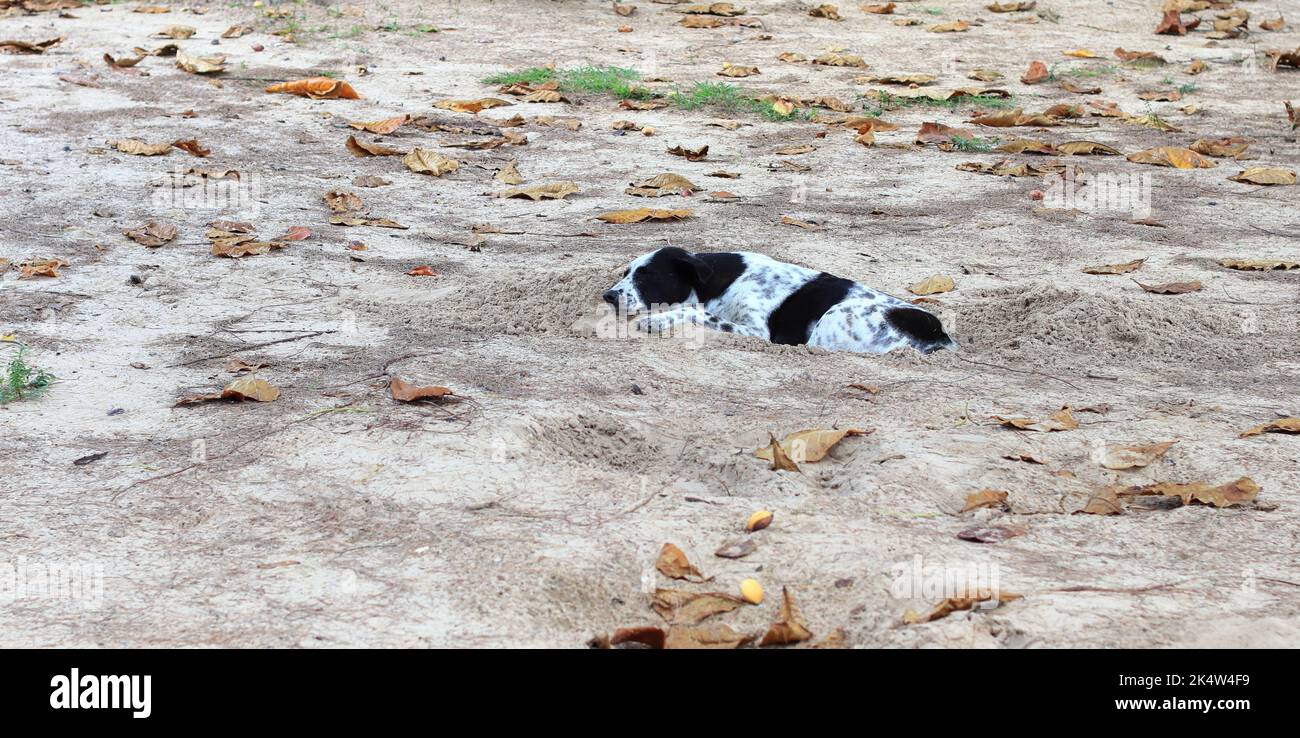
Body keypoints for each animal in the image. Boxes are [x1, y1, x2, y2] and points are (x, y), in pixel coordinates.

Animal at [600, 248, 956, 353]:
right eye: (626, 272)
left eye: (647, 276)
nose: (608, 296)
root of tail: (938, 334)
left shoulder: (757, 331)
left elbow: (695, 312)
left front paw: (657, 320)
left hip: (834, 318)